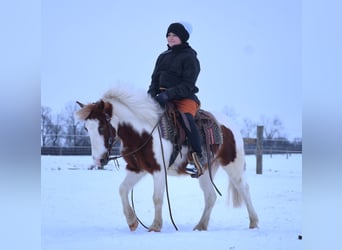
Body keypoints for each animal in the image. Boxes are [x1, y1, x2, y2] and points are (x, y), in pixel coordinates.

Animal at [75, 87, 256, 231]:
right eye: (86, 128)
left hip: (233, 165)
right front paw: (132, 222)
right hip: (204, 171)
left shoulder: (159, 170)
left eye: (101, 127)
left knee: (244, 189)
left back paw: (253, 222)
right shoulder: (137, 169)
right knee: (211, 196)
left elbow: (157, 197)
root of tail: (231, 125)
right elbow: (122, 189)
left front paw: (155, 226)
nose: (98, 160)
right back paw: (200, 226)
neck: (143, 133)